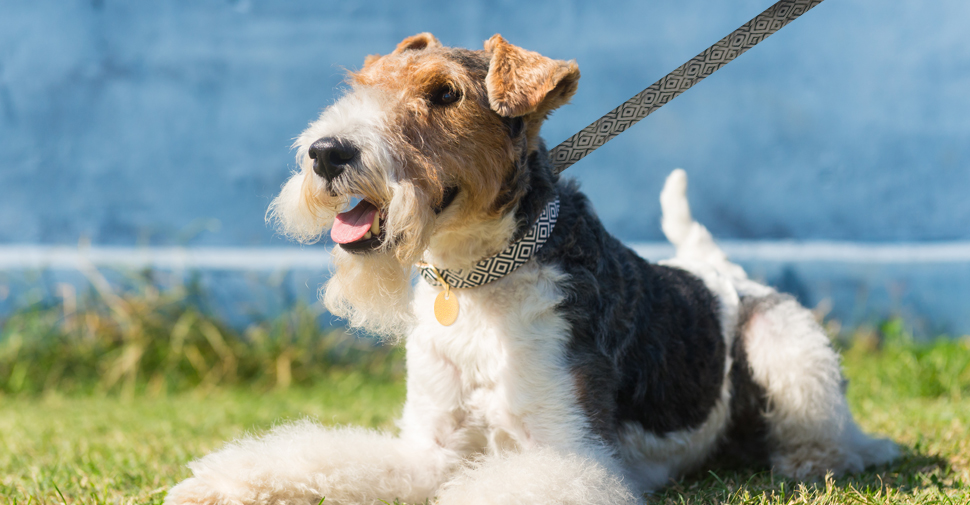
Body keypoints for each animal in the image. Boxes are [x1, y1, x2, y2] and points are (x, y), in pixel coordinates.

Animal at [164, 33, 892, 502]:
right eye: (362, 88)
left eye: (445, 94)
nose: (326, 152)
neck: (475, 280)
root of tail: (720, 274)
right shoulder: (430, 447)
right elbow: (322, 455)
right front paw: (215, 483)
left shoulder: (572, 456)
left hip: (783, 341)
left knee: (833, 432)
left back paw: (821, 457)